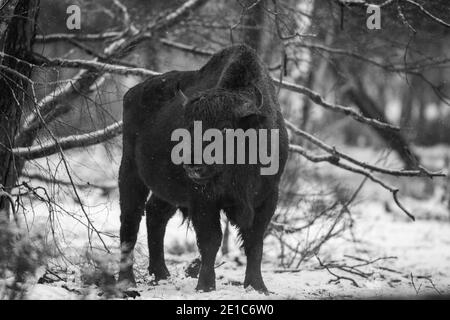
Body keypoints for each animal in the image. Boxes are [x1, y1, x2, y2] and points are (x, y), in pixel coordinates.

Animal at [118, 44, 288, 292]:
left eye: (225, 128)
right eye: (189, 127)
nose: (192, 164)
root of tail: (131, 93)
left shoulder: (267, 197)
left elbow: (255, 242)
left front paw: (258, 286)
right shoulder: (203, 200)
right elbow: (211, 240)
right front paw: (206, 286)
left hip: (167, 191)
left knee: (155, 214)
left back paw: (161, 274)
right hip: (130, 171)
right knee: (130, 219)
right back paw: (126, 281)